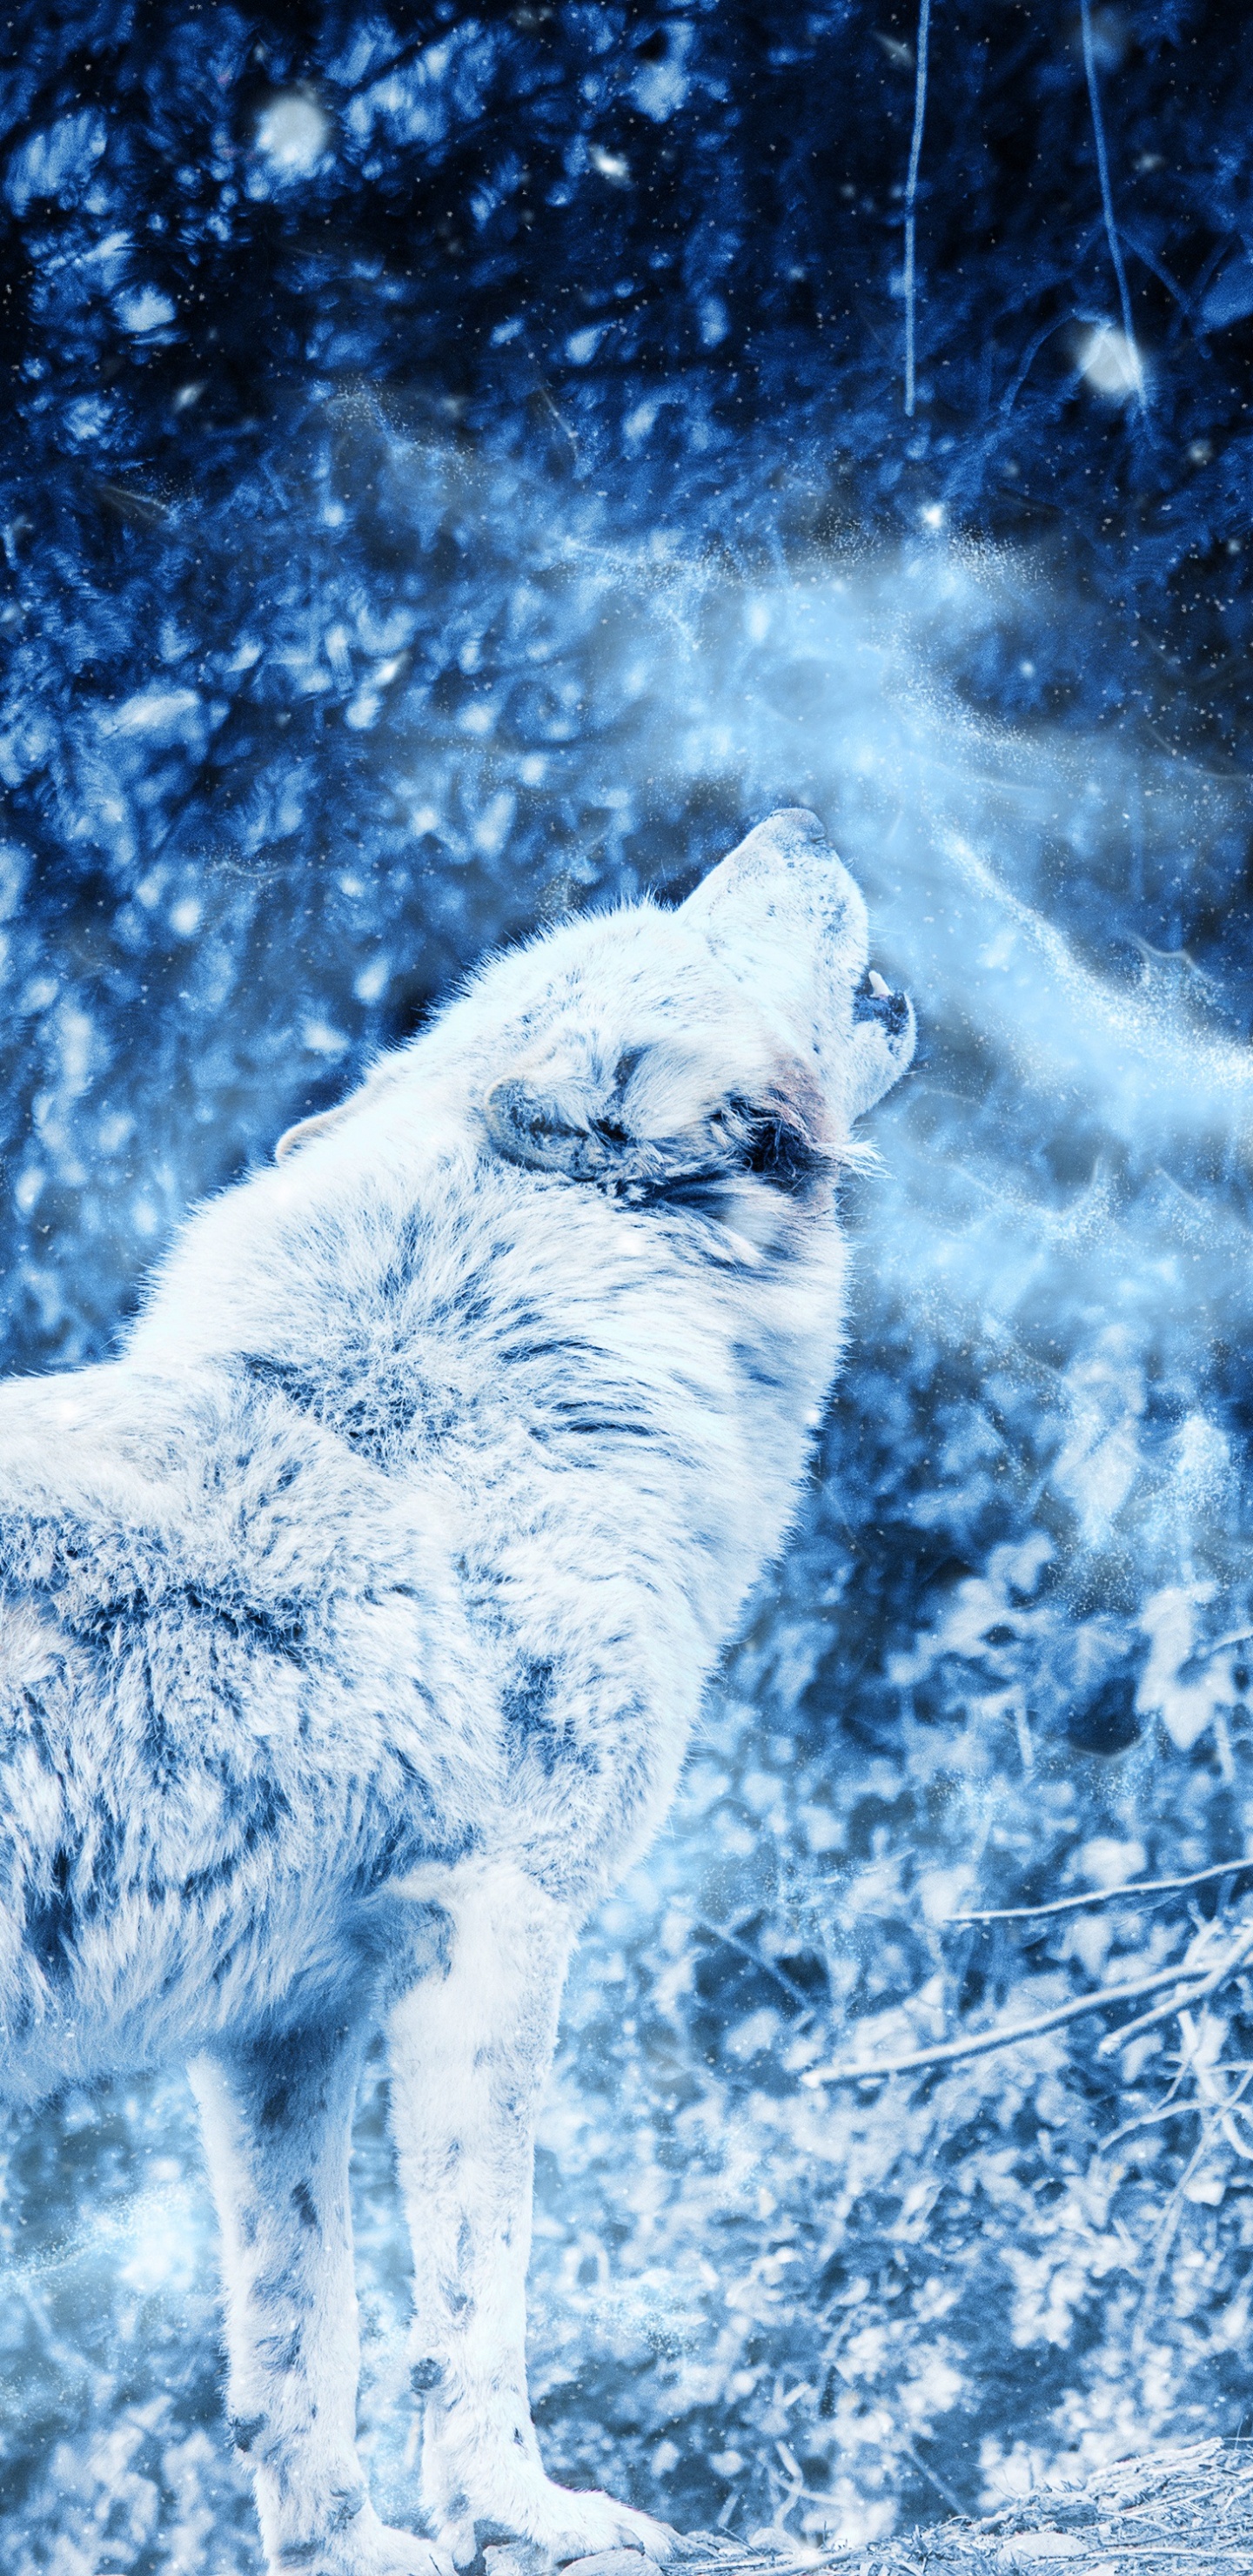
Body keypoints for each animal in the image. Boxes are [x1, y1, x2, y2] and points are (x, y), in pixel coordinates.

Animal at [0, 808, 913, 2576]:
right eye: (690, 930)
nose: (799, 823)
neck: (502, 1394)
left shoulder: (281, 2028)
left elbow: (300, 2344)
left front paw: (348, 2553)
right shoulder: (497, 1930)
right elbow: (475, 2301)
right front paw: (527, 2515)